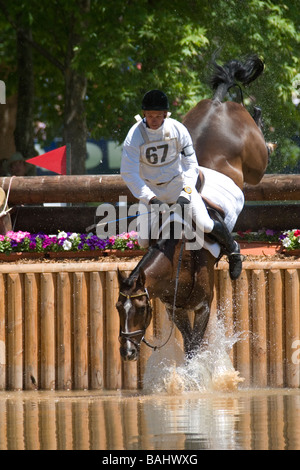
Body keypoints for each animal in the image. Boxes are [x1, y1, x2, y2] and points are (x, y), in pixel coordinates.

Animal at [116, 56, 268, 364]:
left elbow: (195, 348)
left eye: (140, 308)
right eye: (117, 308)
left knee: (261, 147)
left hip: (256, 163)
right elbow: (188, 345)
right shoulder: (175, 307)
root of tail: (218, 103)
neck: (178, 255)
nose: (127, 352)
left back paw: (258, 115)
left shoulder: (202, 305)